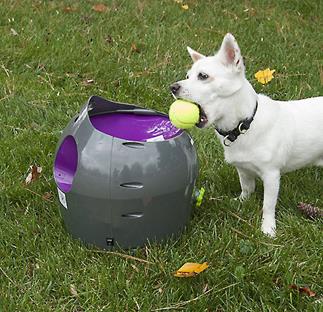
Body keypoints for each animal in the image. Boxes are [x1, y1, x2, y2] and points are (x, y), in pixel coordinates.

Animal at [171, 33, 322, 236]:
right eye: (187, 76)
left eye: (203, 76)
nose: (172, 87)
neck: (244, 125)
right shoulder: (243, 169)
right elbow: (247, 188)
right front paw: (241, 202)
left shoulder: (271, 176)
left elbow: (268, 205)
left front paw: (268, 229)